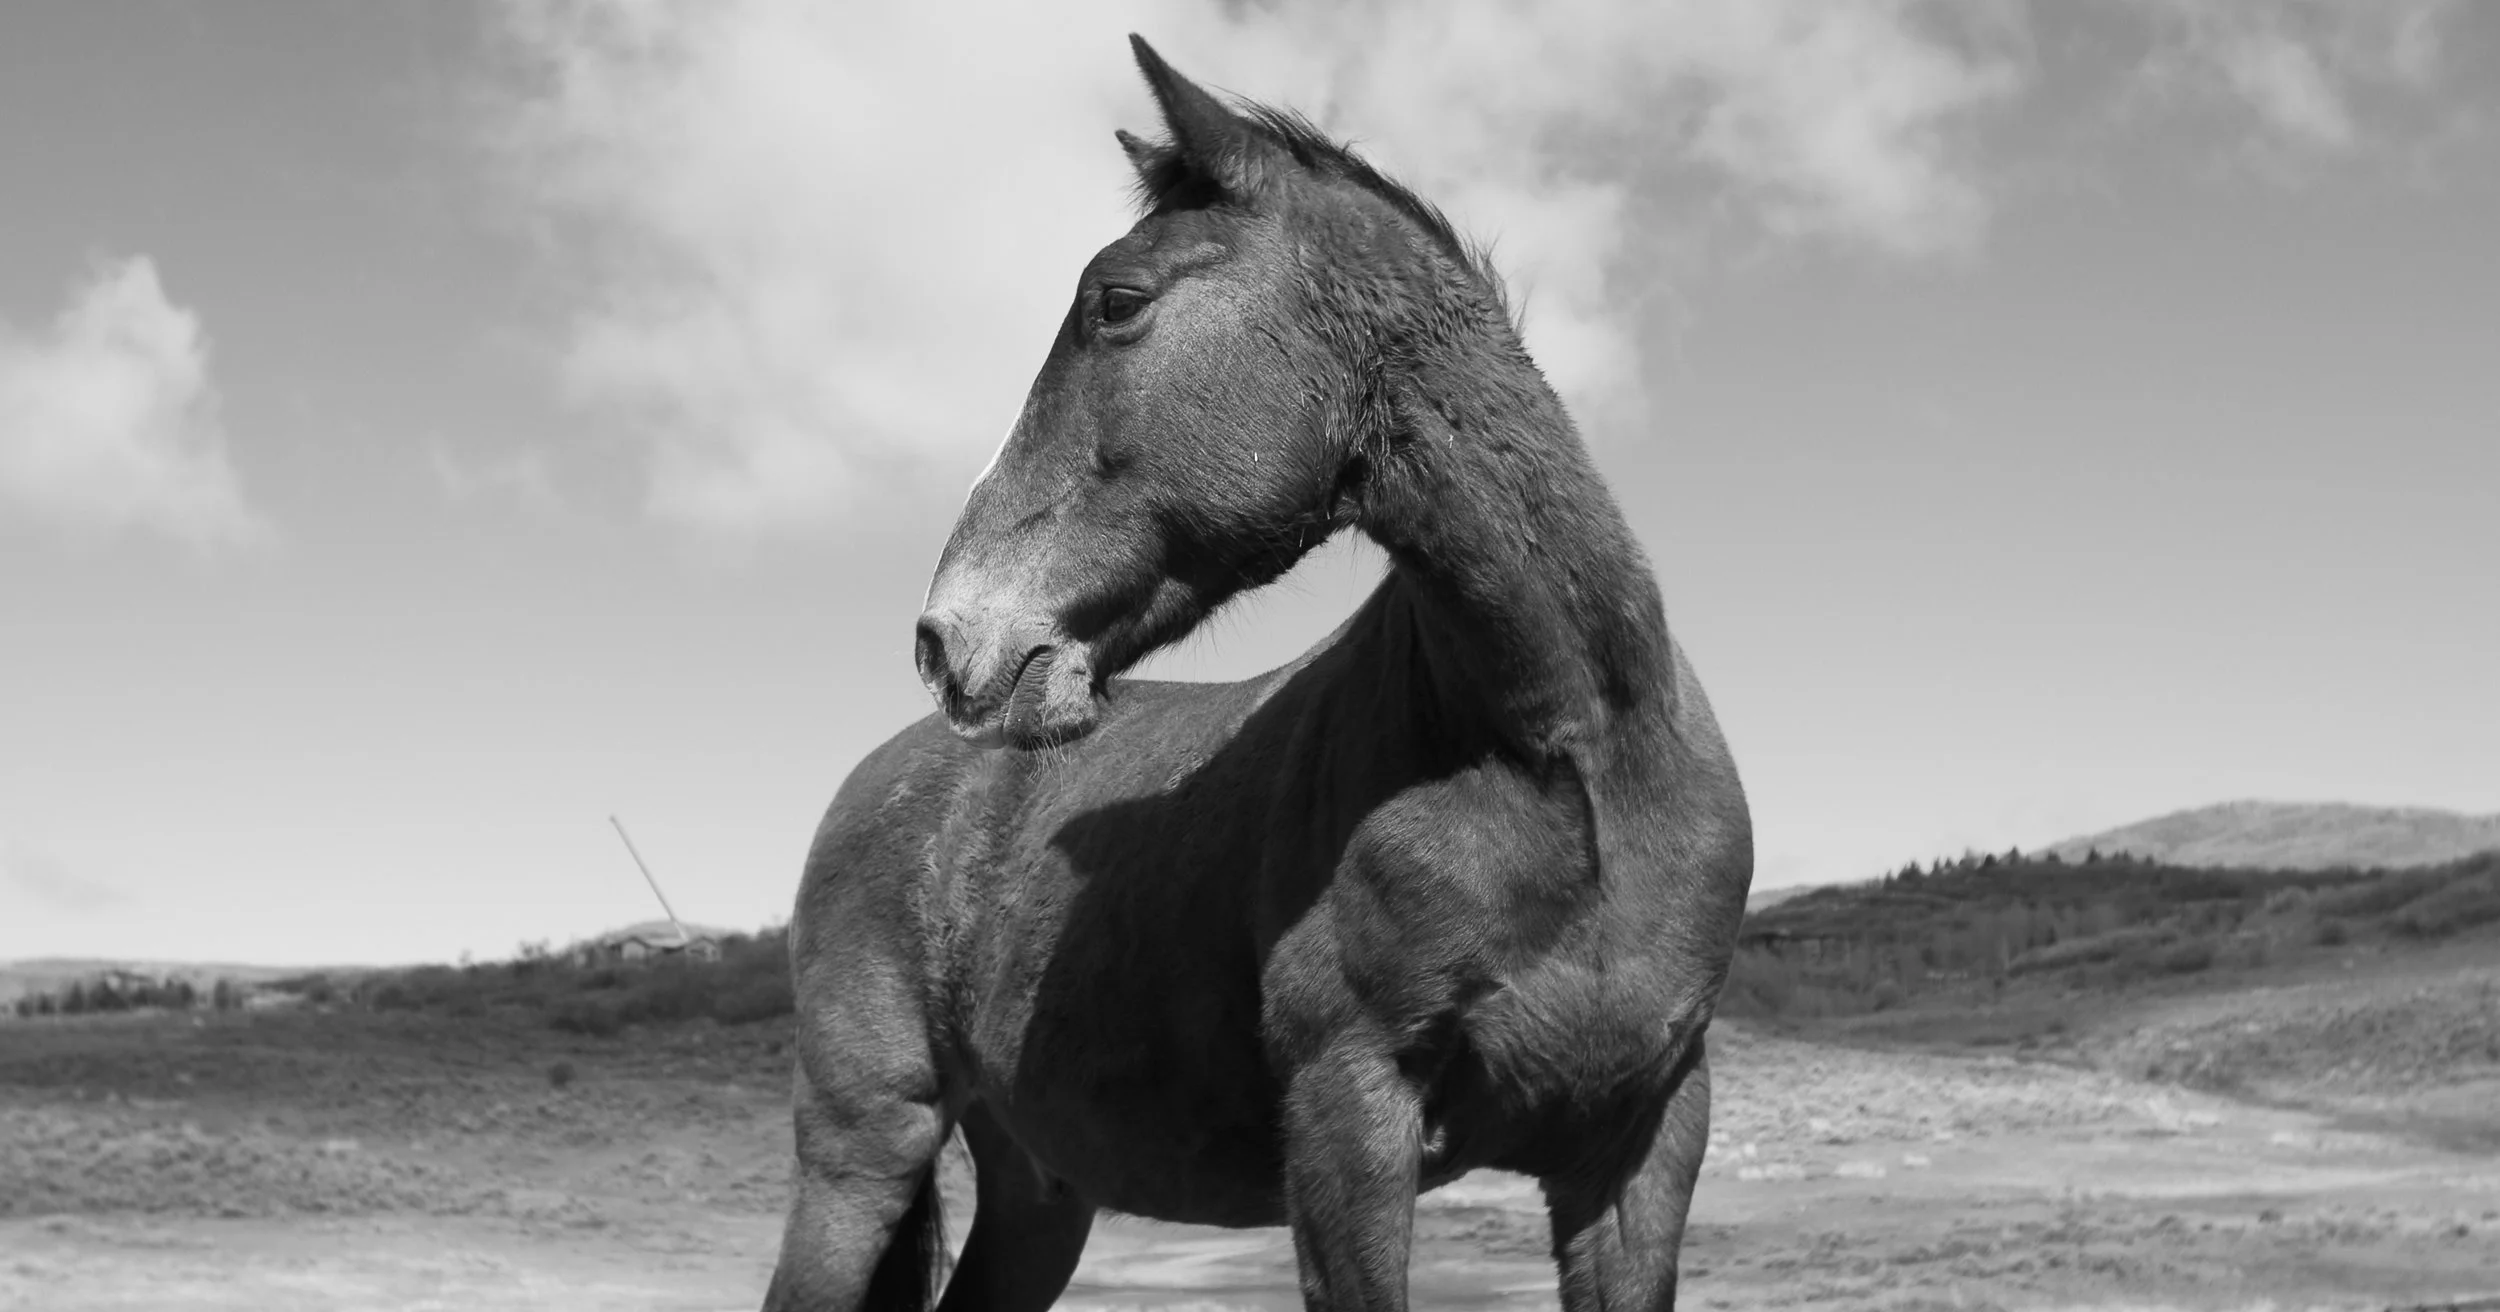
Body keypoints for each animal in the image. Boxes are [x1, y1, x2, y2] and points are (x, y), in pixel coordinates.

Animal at [764, 36, 1753, 1312]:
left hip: (1039, 1191)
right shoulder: (1348, 1127)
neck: (1572, 759)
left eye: (1117, 303)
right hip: (861, 1154)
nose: (946, 638)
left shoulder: (1641, 1142)